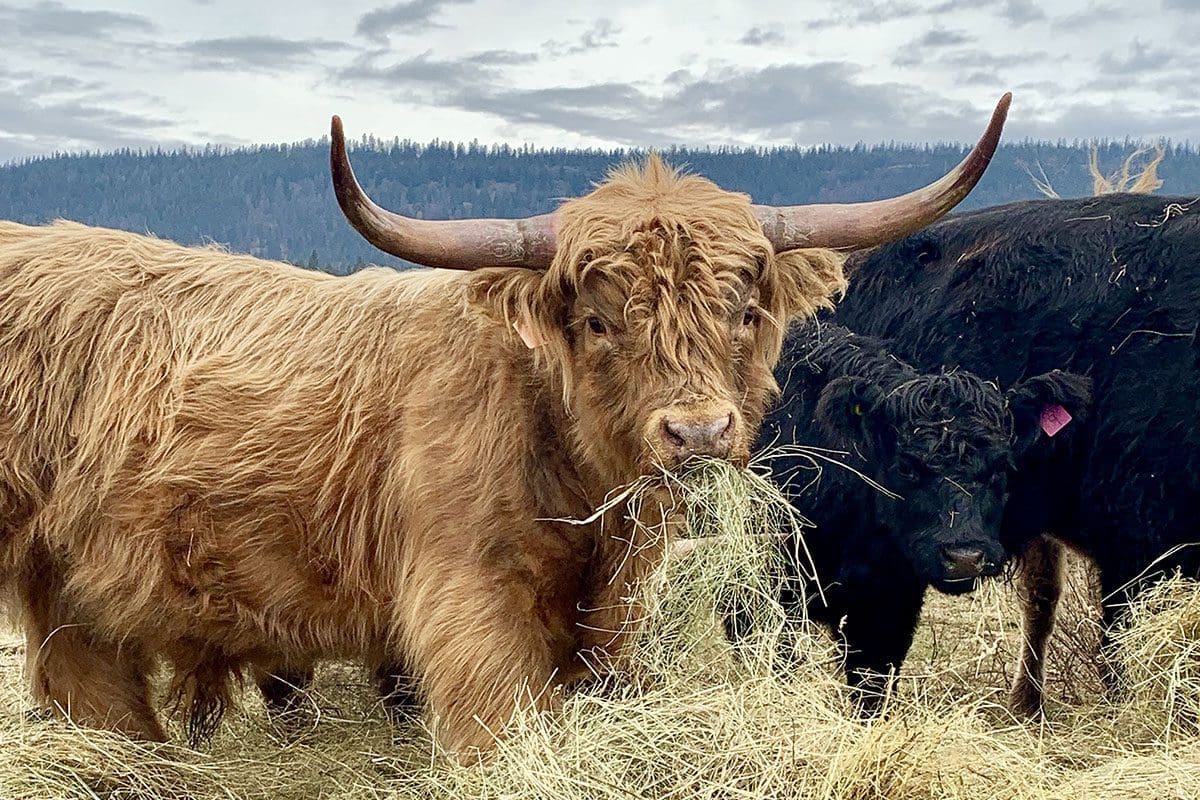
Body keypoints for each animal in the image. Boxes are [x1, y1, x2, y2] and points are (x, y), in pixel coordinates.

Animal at [0, 95, 1012, 758]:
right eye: (598, 322)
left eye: (744, 311)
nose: (697, 433)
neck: (576, 489)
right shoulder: (470, 600)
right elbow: (497, 719)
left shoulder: (611, 611)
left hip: (68, 573)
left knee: (83, 668)